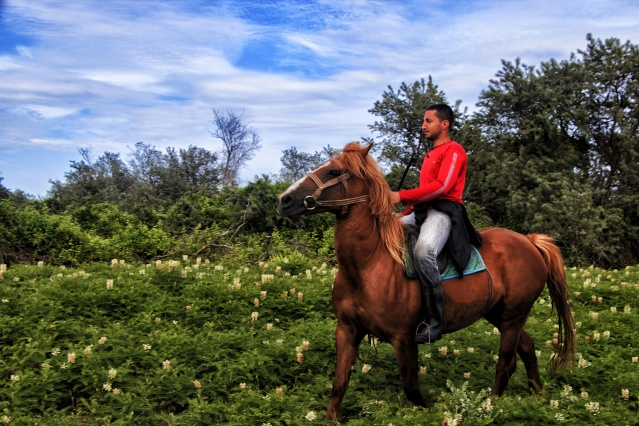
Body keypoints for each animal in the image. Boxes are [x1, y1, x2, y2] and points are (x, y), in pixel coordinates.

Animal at [276, 142, 576, 420]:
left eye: (334, 171)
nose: (284, 200)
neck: (369, 264)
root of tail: (529, 240)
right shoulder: (347, 330)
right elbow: (339, 383)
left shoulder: (403, 338)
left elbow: (412, 389)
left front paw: (436, 410)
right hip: (499, 314)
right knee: (527, 348)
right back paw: (537, 395)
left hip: (513, 316)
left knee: (505, 363)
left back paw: (490, 406)